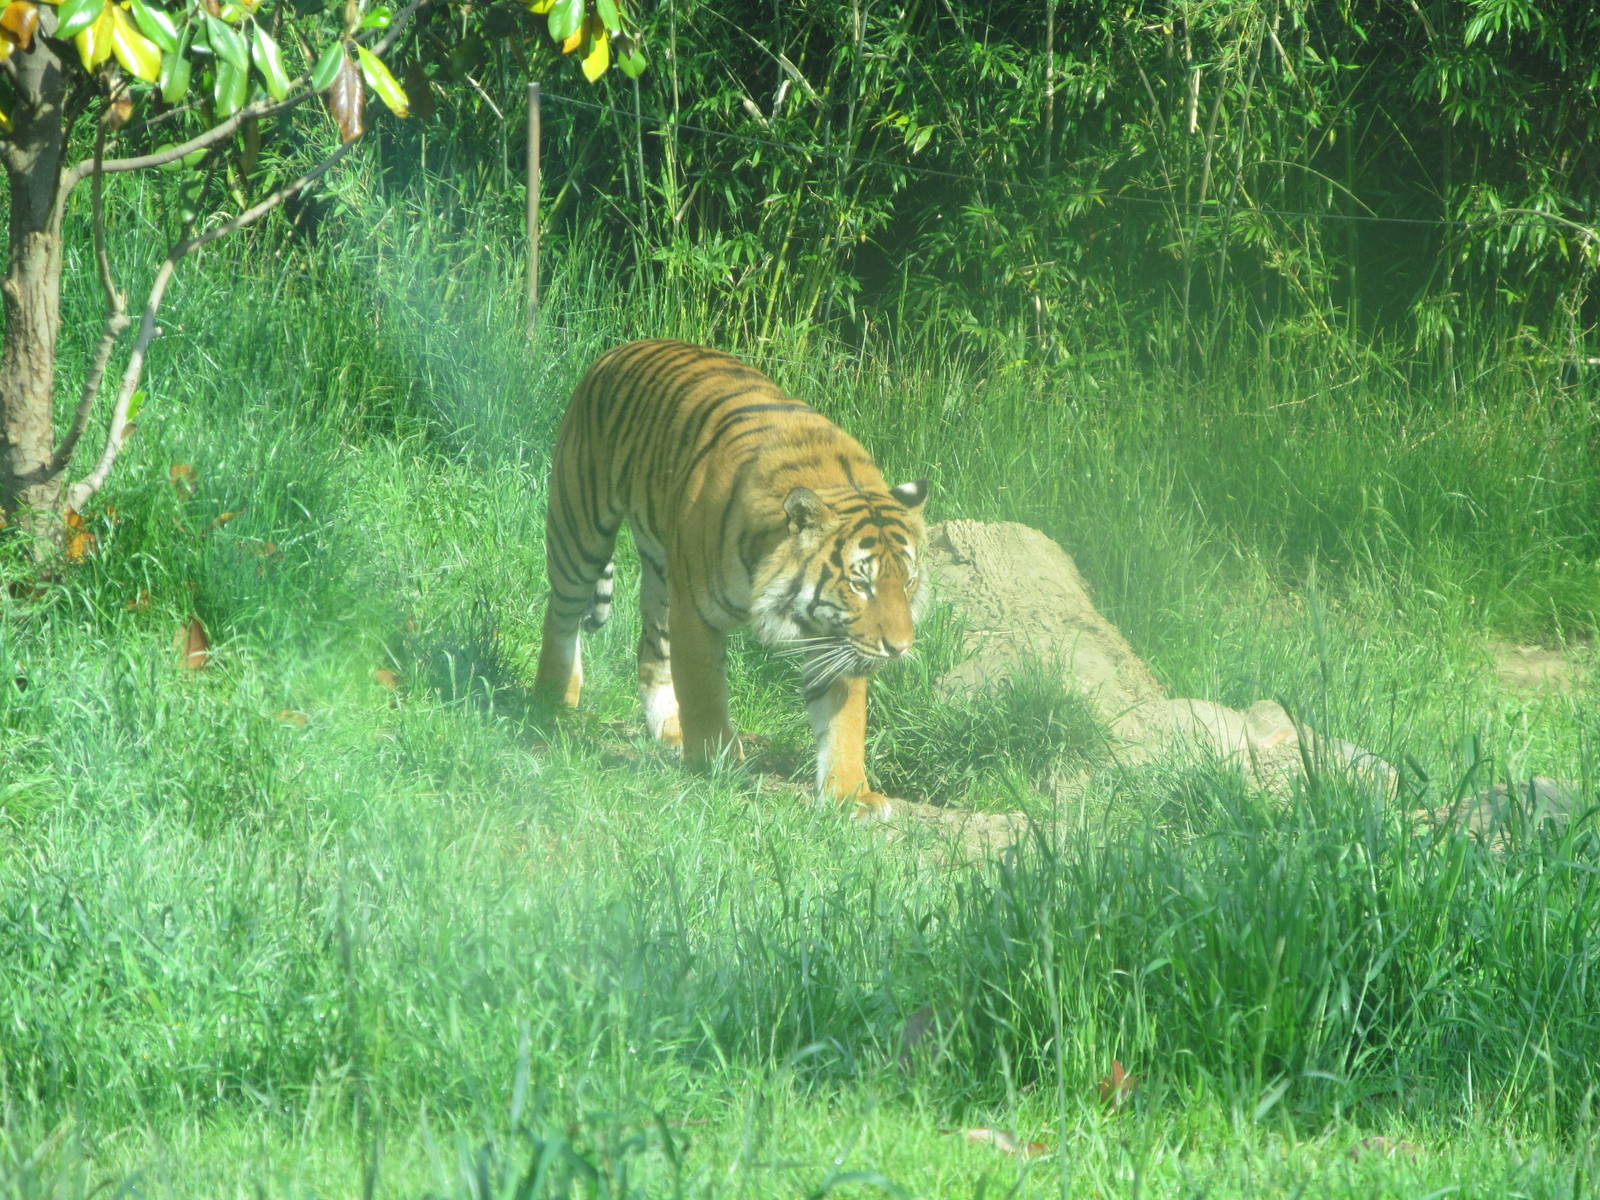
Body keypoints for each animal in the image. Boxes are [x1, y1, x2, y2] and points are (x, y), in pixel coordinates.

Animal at [533, 339, 928, 819]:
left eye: (907, 582)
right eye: (860, 584)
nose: (900, 647)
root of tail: (620, 349)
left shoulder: (838, 639)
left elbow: (844, 722)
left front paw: (851, 796)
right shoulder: (696, 615)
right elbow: (704, 692)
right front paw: (714, 764)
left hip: (663, 575)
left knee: (651, 652)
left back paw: (670, 730)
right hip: (581, 529)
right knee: (561, 614)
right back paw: (552, 703)